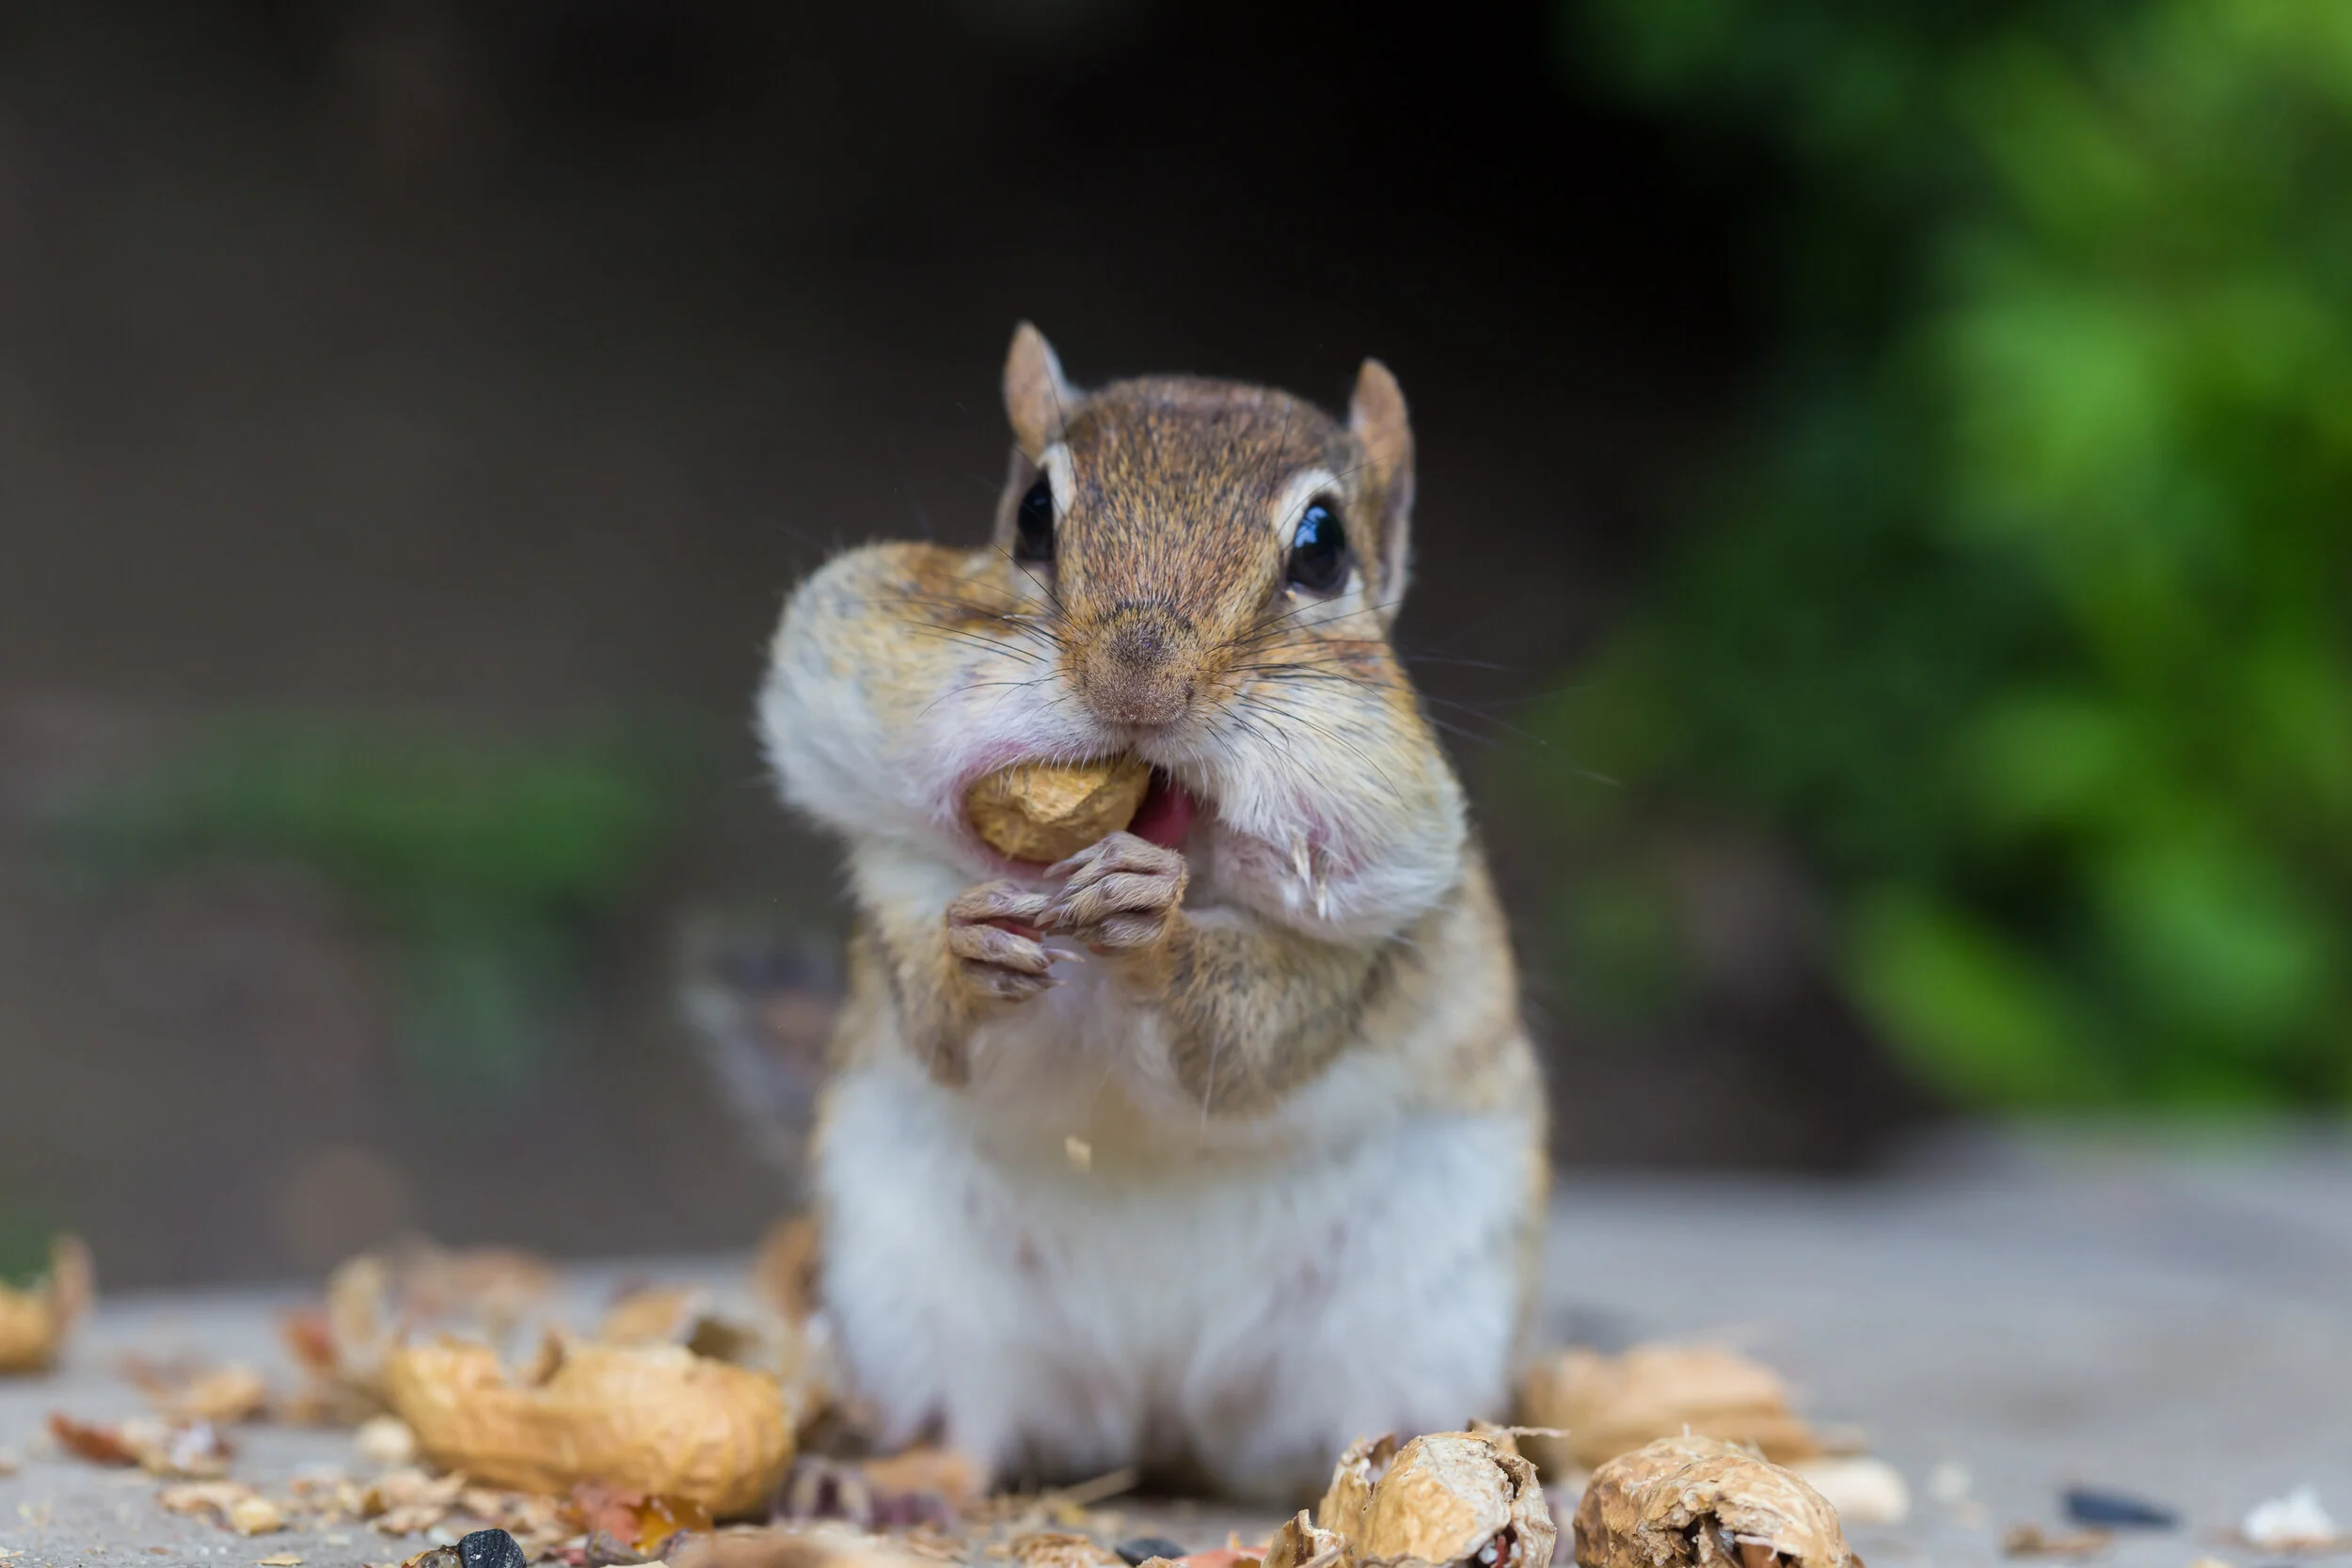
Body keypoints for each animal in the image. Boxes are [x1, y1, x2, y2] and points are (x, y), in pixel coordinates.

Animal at [753, 324, 1548, 1500]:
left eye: (1323, 547)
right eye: (1032, 513)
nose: (1136, 682)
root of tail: (1165, 1418)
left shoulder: (1375, 935)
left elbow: (1251, 1035)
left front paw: (1158, 931)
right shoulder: (892, 875)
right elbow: (938, 1019)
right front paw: (968, 949)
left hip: (1425, 1302)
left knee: (1366, 1415)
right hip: (916, 1283)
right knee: (977, 1416)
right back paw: (904, 1478)